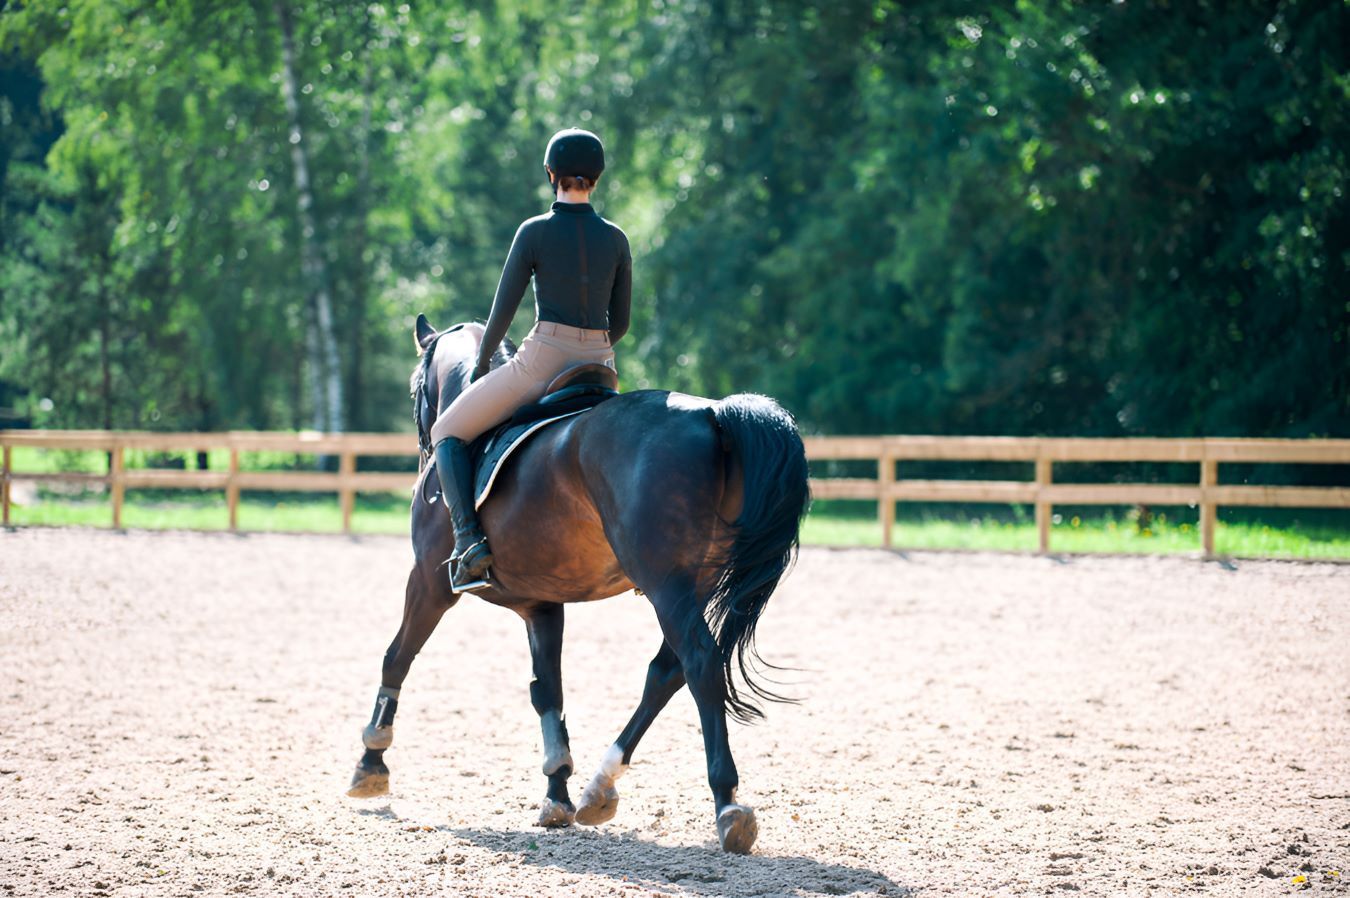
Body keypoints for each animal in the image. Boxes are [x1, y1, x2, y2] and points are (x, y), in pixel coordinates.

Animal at [347, 315, 810, 854]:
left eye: (414, 387)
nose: (422, 446)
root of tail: (712, 413)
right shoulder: (542, 604)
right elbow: (549, 690)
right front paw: (557, 792)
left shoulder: (427, 582)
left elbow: (396, 658)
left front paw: (370, 763)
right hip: (694, 583)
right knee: (666, 672)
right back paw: (599, 786)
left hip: (667, 585)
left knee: (699, 663)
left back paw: (728, 804)